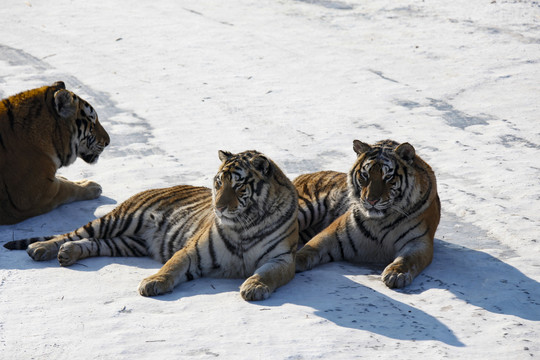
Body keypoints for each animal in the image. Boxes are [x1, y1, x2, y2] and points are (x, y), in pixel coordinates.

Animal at [2, 149, 298, 300]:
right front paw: (153, 282)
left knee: (92, 243)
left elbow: (269, 274)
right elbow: (172, 266)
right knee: (71, 233)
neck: (244, 225)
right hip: (117, 220)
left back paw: (68, 254)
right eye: (218, 183)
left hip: (126, 243)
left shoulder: (282, 258)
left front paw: (254, 286)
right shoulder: (193, 251)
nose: (219, 207)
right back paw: (41, 248)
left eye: (238, 185)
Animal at [296, 139, 438, 288]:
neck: (381, 221)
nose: (371, 200)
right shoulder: (336, 232)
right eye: (365, 175)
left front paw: (396, 274)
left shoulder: (418, 241)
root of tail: (303, 175)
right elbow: (311, 247)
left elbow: (408, 259)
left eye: (388, 177)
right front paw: (295, 262)